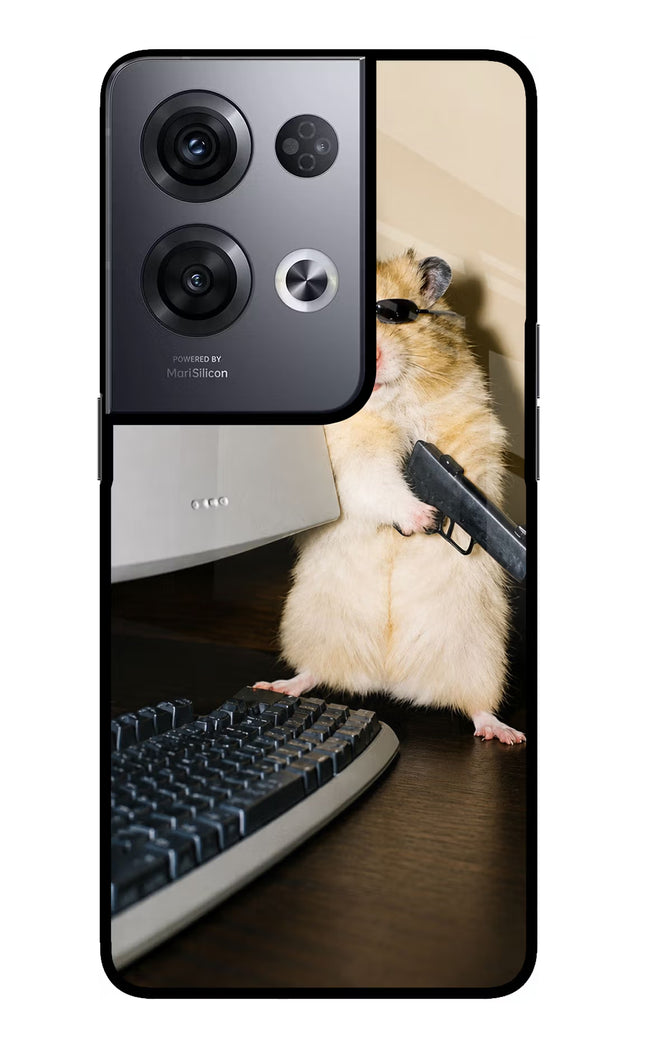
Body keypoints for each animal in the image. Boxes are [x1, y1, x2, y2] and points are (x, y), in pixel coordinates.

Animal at [256, 251, 525, 744]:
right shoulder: (352, 461)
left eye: (395, 315)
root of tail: (389, 679)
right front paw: (424, 518)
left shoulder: (471, 429)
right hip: (311, 626)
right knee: (313, 672)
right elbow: (378, 483)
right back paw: (278, 685)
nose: (375, 360)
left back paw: (505, 733)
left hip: (480, 654)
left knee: (477, 706)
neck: (389, 405)